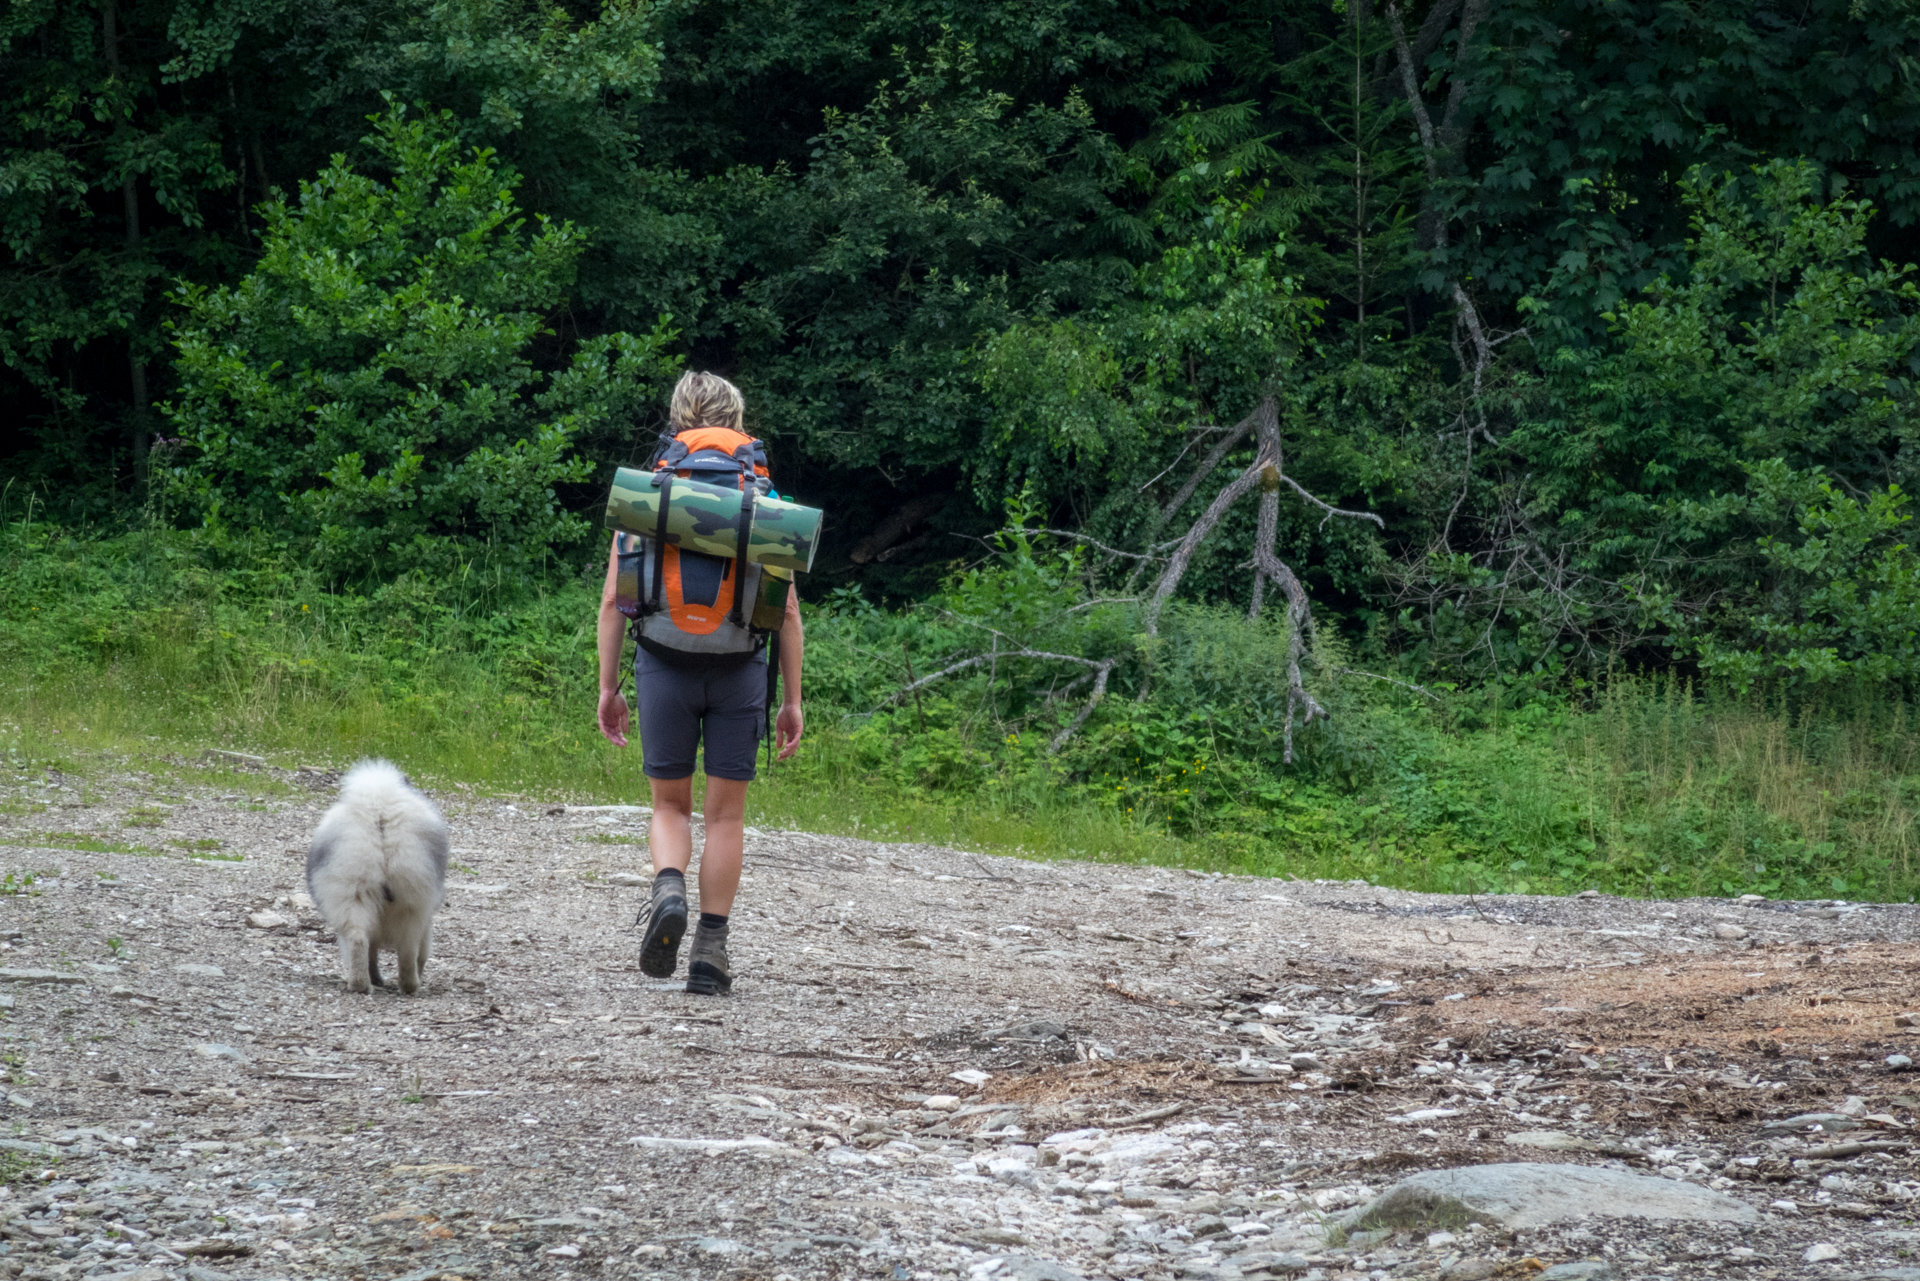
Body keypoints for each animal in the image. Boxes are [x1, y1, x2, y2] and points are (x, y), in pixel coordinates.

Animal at [303, 760, 445, 990]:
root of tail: (379, 813)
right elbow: (421, 952)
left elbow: (372, 951)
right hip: (410, 902)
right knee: (407, 949)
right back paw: (409, 986)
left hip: (354, 891)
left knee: (359, 939)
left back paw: (361, 984)